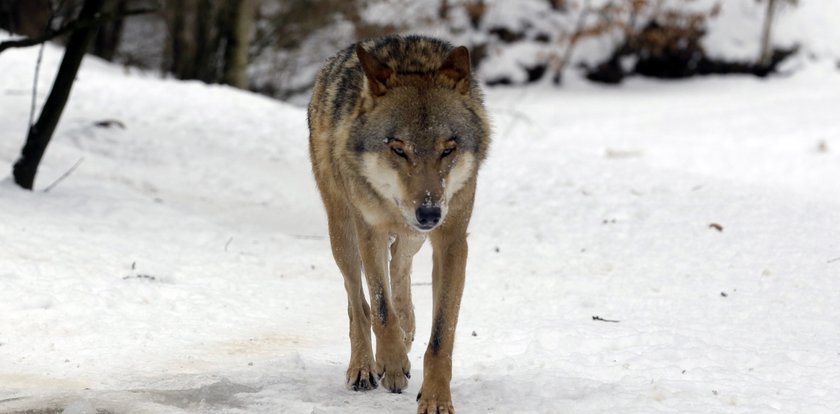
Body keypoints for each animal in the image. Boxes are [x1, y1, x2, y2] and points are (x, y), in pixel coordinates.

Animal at [306, 36, 492, 414]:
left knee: (400, 269)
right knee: (357, 301)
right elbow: (379, 309)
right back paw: (364, 366)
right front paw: (391, 364)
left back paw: (407, 330)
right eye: (398, 149)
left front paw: (435, 398)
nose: (429, 213)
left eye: (448, 149)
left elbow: (441, 336)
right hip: (343, 234)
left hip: (414, 238)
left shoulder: (452, 242)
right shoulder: (370, 232)